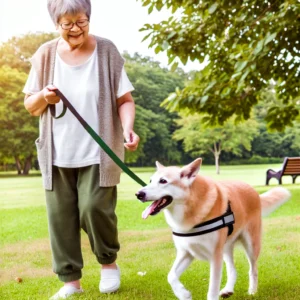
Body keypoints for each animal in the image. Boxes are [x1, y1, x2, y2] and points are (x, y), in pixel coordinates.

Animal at [136, 158, 290, 298]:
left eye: (163, 181)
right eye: (150, 181)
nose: (139, 194)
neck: (190, 208)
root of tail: (253, 190)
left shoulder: (215, 256)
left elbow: (212, 289)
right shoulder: (186, 253)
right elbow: (171, 275)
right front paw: (183, 293)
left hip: (251, 245)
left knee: (253, 269)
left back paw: (252, 291)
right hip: (226, 248)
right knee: (232, 270)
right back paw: (228, 290)